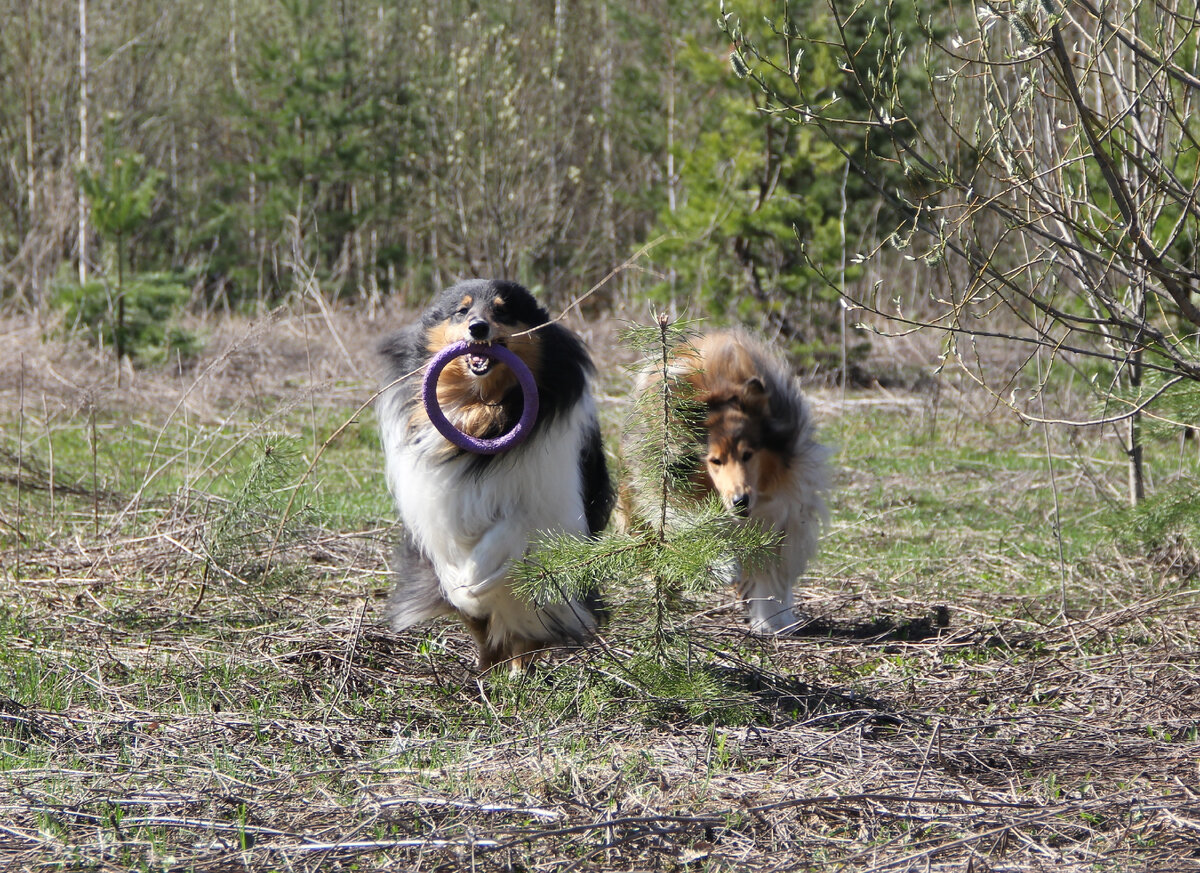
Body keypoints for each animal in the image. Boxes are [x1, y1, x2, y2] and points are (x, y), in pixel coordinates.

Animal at [379, 278, 614, 666]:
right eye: (461, 311)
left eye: (503, 311)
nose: (478, 328)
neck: (483, 411)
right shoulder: (436, 502)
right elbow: (452, 560)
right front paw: (462, 584)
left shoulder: (552, 504)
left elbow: (510, 529)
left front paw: (474, 580)